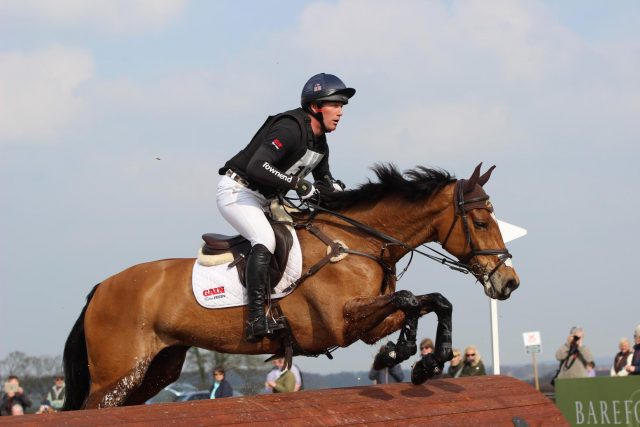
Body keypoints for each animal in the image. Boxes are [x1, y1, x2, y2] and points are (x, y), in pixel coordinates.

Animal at [61, 164, 520, 412]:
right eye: (482, 222)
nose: (509, 282)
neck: (358, 240)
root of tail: (100, 288)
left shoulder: (368, 321)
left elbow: (431, 302)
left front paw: (423, 360)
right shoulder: (342, 322)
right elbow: (410, 300)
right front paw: (406, 354)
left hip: (157, 370)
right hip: (117, 375)